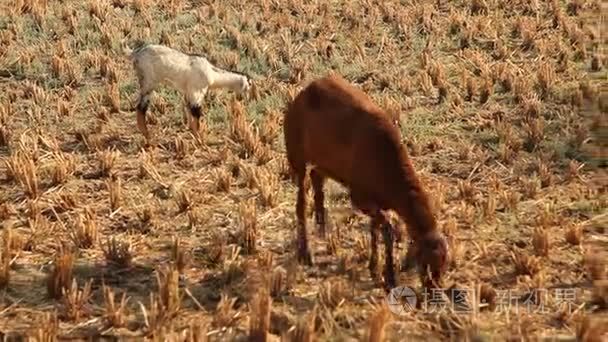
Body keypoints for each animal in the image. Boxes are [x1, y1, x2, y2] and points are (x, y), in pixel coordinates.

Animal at [121, 42, 252, 142]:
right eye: (249, 86)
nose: (246, 99)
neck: (213, 74)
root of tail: (136, 53)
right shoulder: (197, 92)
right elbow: (196, 114)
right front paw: (199, 138)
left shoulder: (188, 93)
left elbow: (189, 112)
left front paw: (192, 131)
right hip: (149, 82)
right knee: (141, 107)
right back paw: (148, 137)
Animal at [282, 73, 448, 290]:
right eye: (426, 264)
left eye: (444, 265)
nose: (433, 290)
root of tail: (302, 94)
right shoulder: (360, 198)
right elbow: (387, 230)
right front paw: (389, 277)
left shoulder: (376, 203)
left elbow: (375, 230)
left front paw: (374, 268)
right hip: (298, 159)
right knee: (301, 201)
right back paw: (305, 253)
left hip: (324, 163)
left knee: (317, 182)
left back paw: (322, 230)